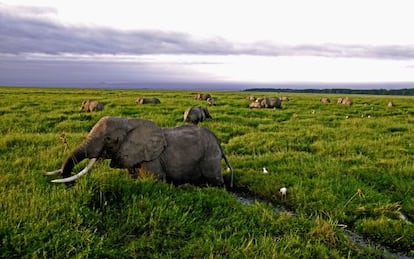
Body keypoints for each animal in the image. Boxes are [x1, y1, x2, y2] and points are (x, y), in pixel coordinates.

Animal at [46, 117, 233, 188]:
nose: (71, 186)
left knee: (215, 181)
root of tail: (218, 142)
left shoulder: (152, 160)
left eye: (108, 139)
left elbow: (156, 180)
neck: (128, 122)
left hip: (210, 157)